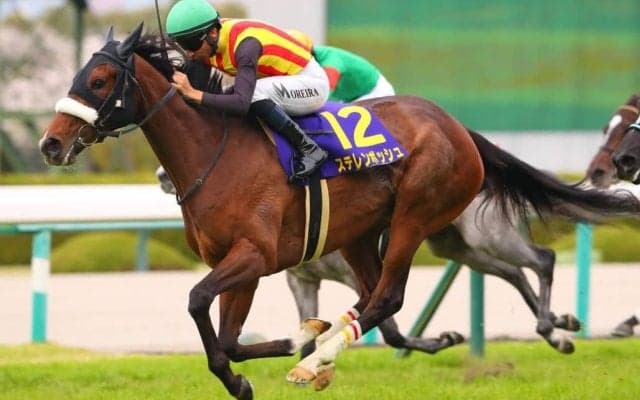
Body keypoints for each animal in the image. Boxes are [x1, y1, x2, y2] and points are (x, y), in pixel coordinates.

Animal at [39, 24, 640, 399]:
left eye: (98, 80)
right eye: (74, 78)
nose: (50, 144)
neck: (216, 152)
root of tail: (455, 126)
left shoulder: (253, 256)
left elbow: (196, 301)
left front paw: (298, 346)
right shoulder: (252, 266)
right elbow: (227, 340)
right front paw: (258, 368)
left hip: (418, 218)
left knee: (407, 294)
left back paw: (315, 362)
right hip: (370, 235)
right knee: (390, 299)